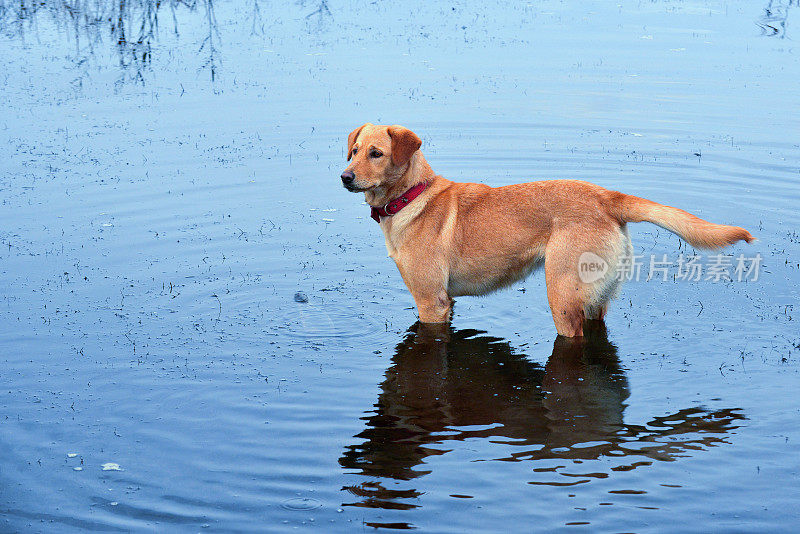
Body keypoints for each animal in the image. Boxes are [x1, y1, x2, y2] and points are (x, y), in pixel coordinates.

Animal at [340, 123, 752, 338]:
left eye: (376, 153)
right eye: (355, 150)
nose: (345, 177)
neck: (411, 197)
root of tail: (606, 197)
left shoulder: (431, 302)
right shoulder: (448, 303)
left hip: (563, 297)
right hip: (596, 299)